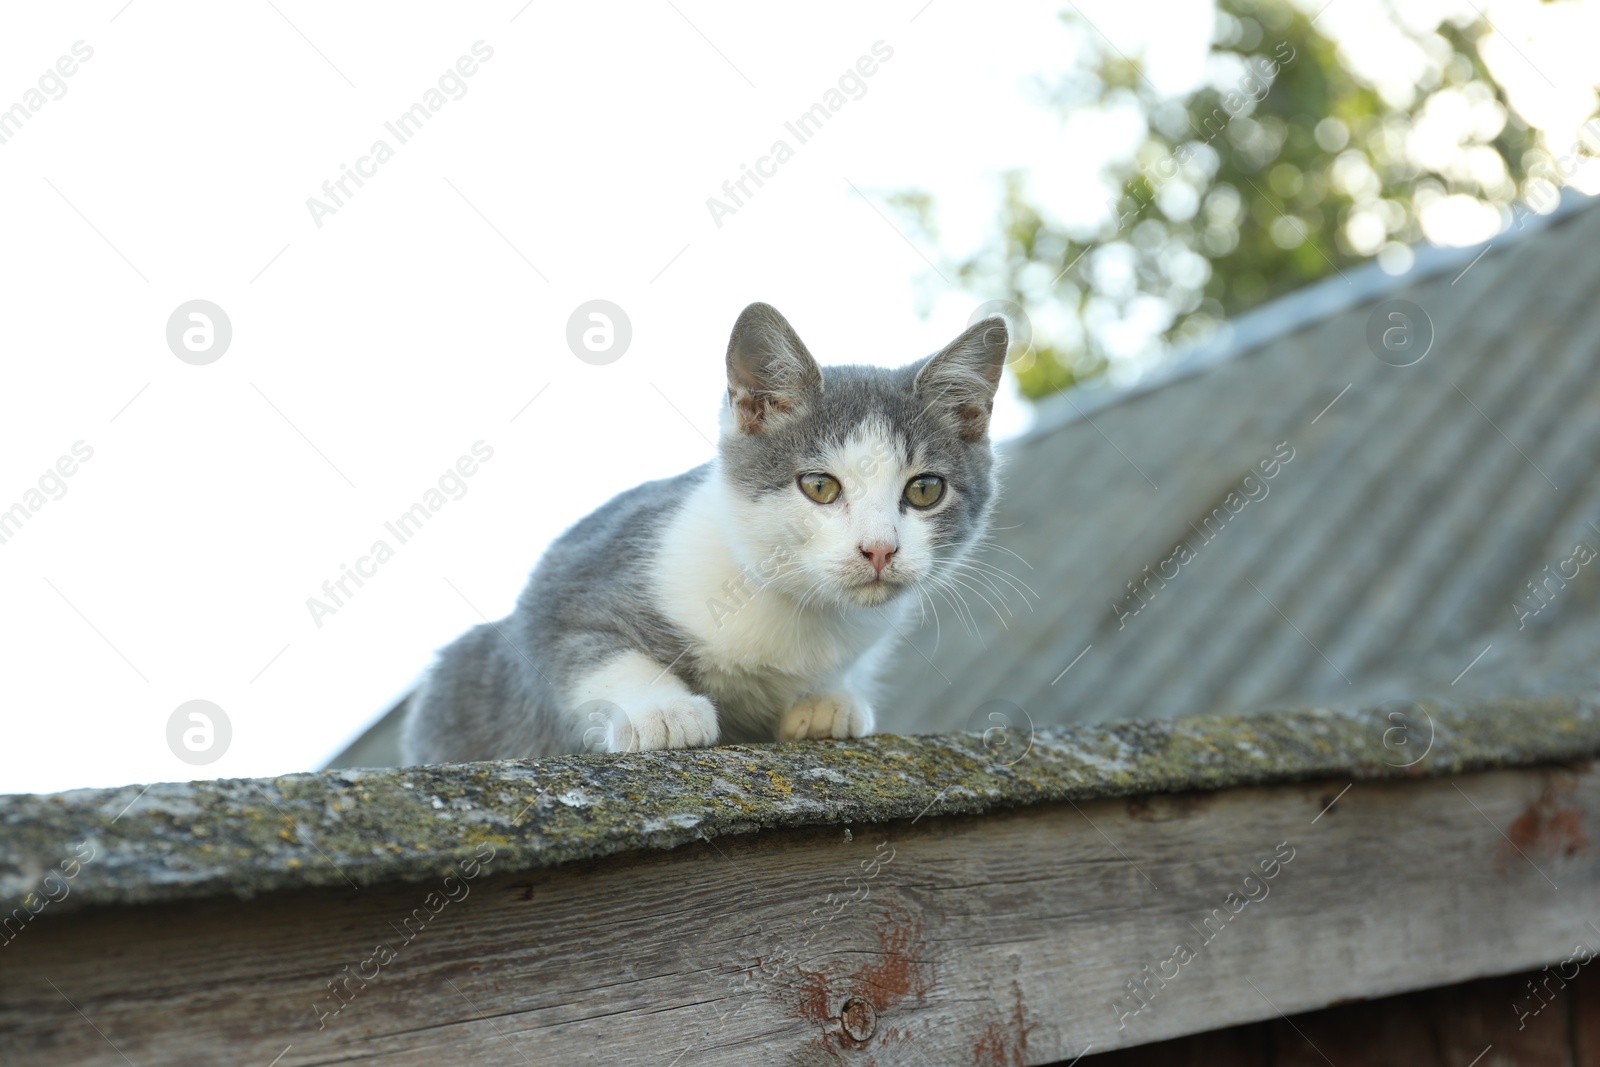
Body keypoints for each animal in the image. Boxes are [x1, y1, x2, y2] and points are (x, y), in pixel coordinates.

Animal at [400, 303, 998, 764]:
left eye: (925, 490)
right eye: (820, 486)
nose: (879, 548)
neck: (792, 605)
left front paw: (827, 700)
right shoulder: (562, 586)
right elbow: (587, 651)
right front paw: (662, 710)